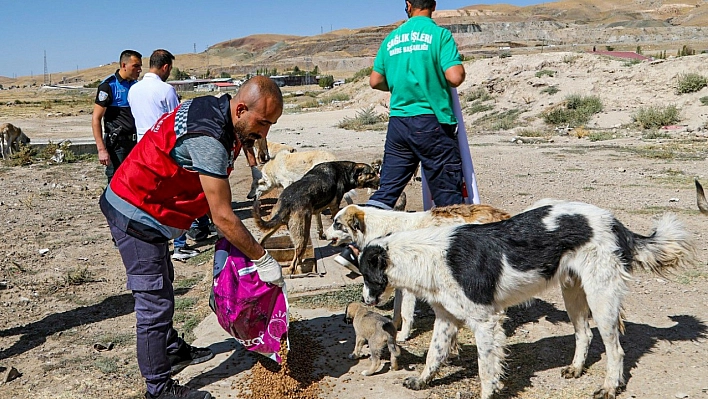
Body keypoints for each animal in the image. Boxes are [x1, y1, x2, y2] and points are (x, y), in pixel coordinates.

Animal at [326, 205, 508, 342]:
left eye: (337, 223)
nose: (323, 234)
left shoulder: (408, 288)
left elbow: (406, 312)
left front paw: (403, 335)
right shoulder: (398, 284)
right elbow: (396, 309)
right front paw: (393, 327)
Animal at [360, 199, 696, 399]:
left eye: (364, 274)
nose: (364, 300)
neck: (427, 254)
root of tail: (615, 223)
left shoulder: (486, 322)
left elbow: (485, 369)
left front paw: (487, 393)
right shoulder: (447, 319)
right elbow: (434, 355)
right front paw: (422, 381)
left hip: (602, 299)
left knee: (616, 351)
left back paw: (609, 387)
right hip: (573, 293)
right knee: (584, 334)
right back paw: (576, 368)